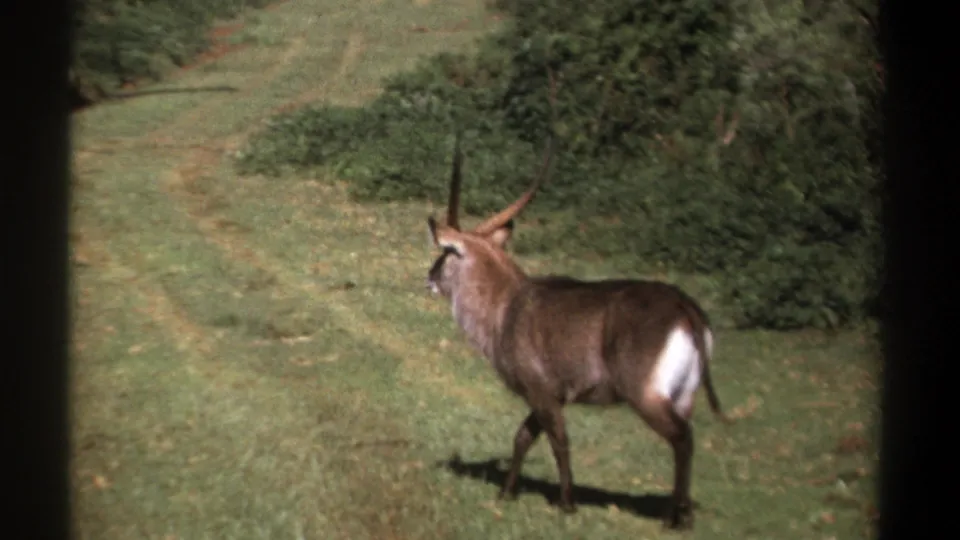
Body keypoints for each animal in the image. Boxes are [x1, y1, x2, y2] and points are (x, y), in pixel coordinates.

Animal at [425, 134, 731, 530]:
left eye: (445, 252)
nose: (429, 277)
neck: (505, 306)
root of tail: (684, 305)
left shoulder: (541, 391)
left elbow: (559, 441)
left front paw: (567, 504)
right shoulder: (552, 395)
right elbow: (523, 437)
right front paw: (507, 493)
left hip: (646, 395)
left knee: (683, 438)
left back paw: (670, 520)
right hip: (684, 395)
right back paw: (684, 516)